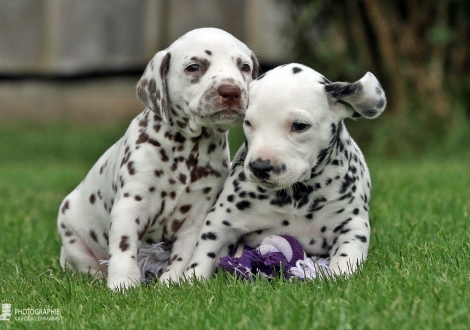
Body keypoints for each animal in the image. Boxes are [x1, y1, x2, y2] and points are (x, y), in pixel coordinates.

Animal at [57, 28, 260, 288]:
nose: (231, 91)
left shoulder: (197, 214)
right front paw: (123, 284)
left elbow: (185, 253)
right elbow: (124, 248)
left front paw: (172, 281)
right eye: (194, 67)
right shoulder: (131, 205)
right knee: (86, 266)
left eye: (244, 67)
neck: (188, 150)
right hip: (71, 235)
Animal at [183, 63, 386, 280]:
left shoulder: (352, 224)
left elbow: (346, 257)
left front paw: (339, 276)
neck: (295, 196)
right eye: (249, 123)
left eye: (299, 125)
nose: (260, 166)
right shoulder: (221, 220)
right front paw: (191, 280)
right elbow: (204, 253)